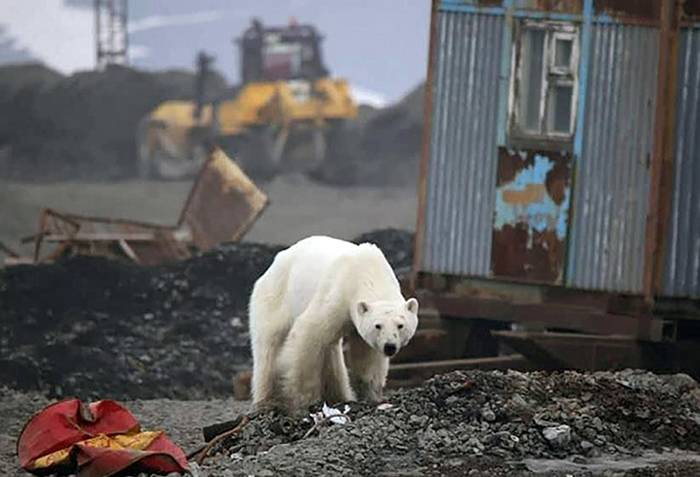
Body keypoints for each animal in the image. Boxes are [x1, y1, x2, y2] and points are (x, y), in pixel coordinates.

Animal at [249, 236, 418, 410]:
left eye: (400, 325)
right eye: (378, 325)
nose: (389, 347)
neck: (368, 272)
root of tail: (274, 263)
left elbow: (367, 354)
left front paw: (371, 395)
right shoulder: (337, 294)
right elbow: (308, 333)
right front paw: (306, 400)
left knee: (331, 351)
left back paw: (339, 396)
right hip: (275, 296)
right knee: (269, 345)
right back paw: (267, 399)